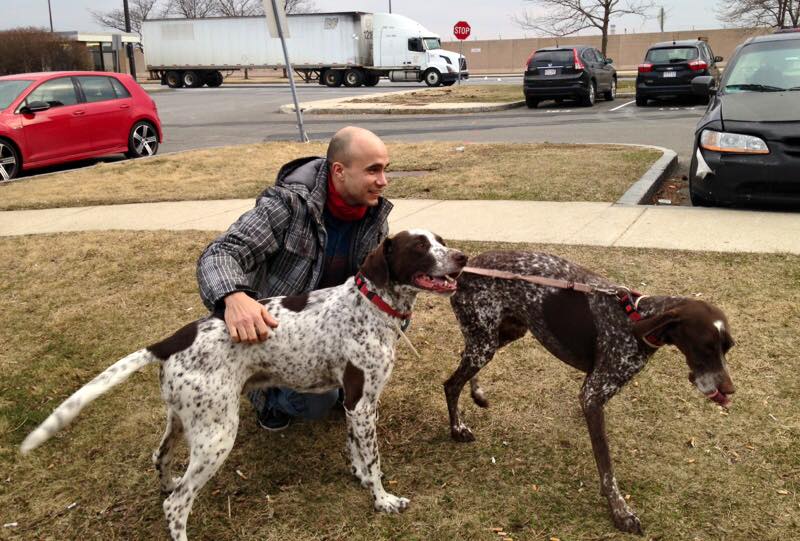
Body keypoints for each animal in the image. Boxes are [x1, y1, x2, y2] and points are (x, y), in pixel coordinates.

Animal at [20, 229, 468, 540]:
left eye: (441, 241)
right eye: (420, 247)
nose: (462, 257)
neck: (372, 305)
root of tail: (173, 339)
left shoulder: (356, 404)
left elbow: (357, 452)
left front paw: (359, 476)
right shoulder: (360, 402)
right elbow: (373, 462)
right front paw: (383, 500)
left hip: (185, 419)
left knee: (161, 461)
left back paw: (165, 484)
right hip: (218, 434)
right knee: (178, 504)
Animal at [446, 251, 736, 532]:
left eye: (728, 347)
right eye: (705, 347)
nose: (730, 391)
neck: (638, 319)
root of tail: (465, 266)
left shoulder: (592, 392)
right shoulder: (592, 395)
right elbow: (606, 467)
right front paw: (620, 512)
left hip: (502, 333)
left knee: (463, 357)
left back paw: (478, 393)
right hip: (484, 342)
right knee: (450, 385)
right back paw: (457, 429)